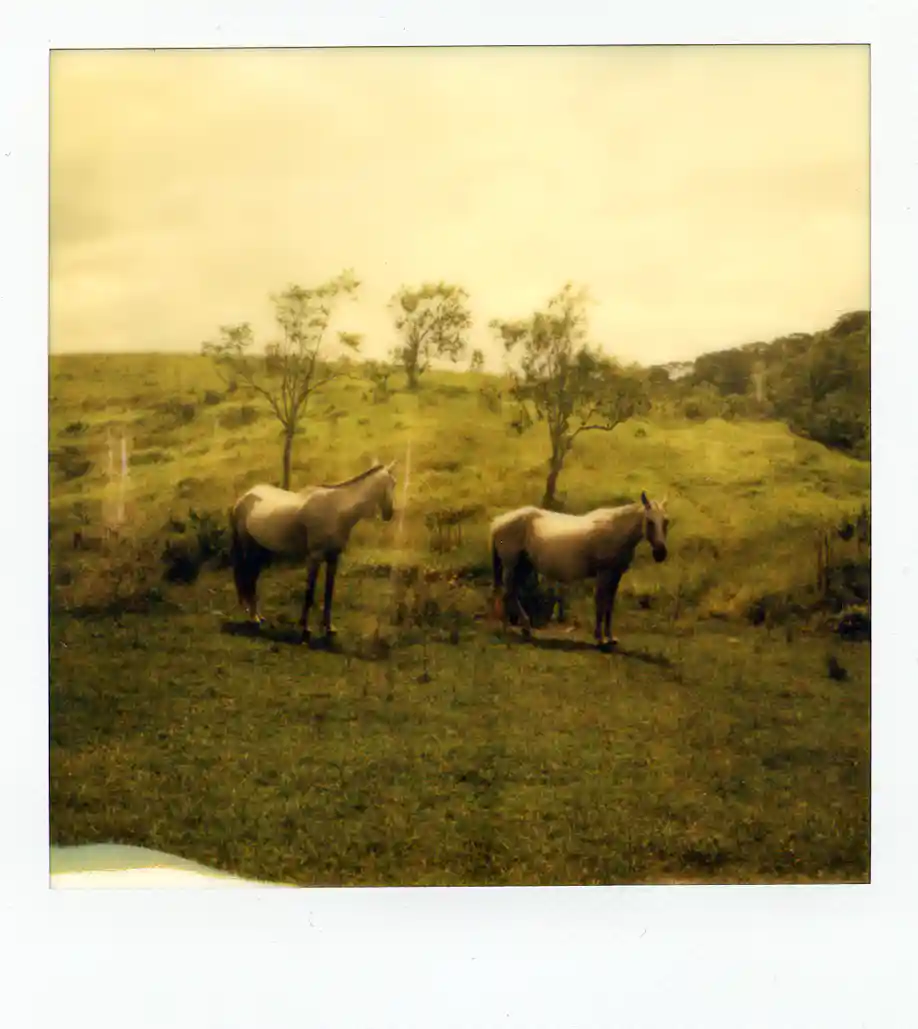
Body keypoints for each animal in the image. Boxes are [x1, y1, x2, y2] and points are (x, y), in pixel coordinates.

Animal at [229, 461, 397, 643]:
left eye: (394, 484)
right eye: (384, 484)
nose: (389, 513)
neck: (336, 510)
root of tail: (245, 496)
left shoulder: (333, 558)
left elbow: (328, 593)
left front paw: (329, 628)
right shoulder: (314, 558)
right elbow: (309, 592)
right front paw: (305, 628)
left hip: (260, 550)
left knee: (251, 578)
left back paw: (258, 615)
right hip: (249, 548)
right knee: (248, 577)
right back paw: (254, 618)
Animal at [489, 491, 669, 649]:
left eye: (666, 521)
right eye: (650, 521)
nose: (660, 554)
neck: (616, 530)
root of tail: (498, 522)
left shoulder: (615, 576)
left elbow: (609, 606)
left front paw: (610, 638)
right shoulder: (603, 575)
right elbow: (600, 604)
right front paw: (600, 639)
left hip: (524, 566)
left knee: (510, 593)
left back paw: (522, 629)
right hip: (511, 566)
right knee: (509, 594)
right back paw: (509, 629)